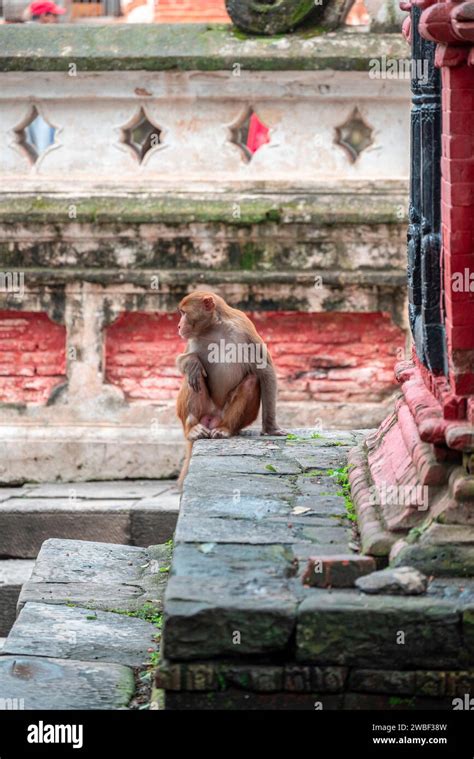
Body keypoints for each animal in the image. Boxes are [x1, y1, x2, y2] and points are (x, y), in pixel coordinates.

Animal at [175, 290, 284, 486]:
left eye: (184, 313)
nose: (179, 326)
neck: (214, 328)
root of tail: (212, 419)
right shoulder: (193, 339)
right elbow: (182, 360)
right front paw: (192, 361)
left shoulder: (244, 327)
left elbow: (266, 371)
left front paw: (271, 428)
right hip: (203, 412)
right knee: (193, 377)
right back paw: (193, 429)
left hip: (231, 417)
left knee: (251, 380)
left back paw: (225, 429)